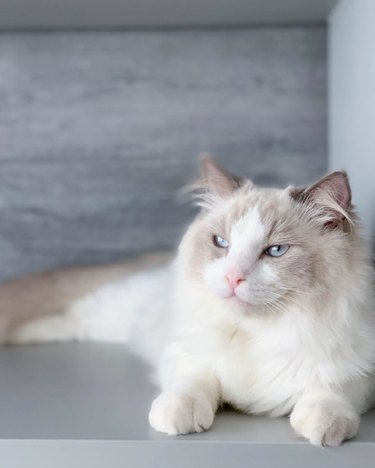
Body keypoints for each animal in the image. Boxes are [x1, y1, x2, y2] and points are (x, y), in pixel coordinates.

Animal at [1, 157, 374, 446]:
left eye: (276, 250)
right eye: (221, 243)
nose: (233, 278)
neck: (256, 333)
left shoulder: (358, 370)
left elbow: (332, 390)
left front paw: (323, 427)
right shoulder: (186, 352)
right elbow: (191, 383)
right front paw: (176, 418)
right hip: (116, 312)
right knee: (73, 314)